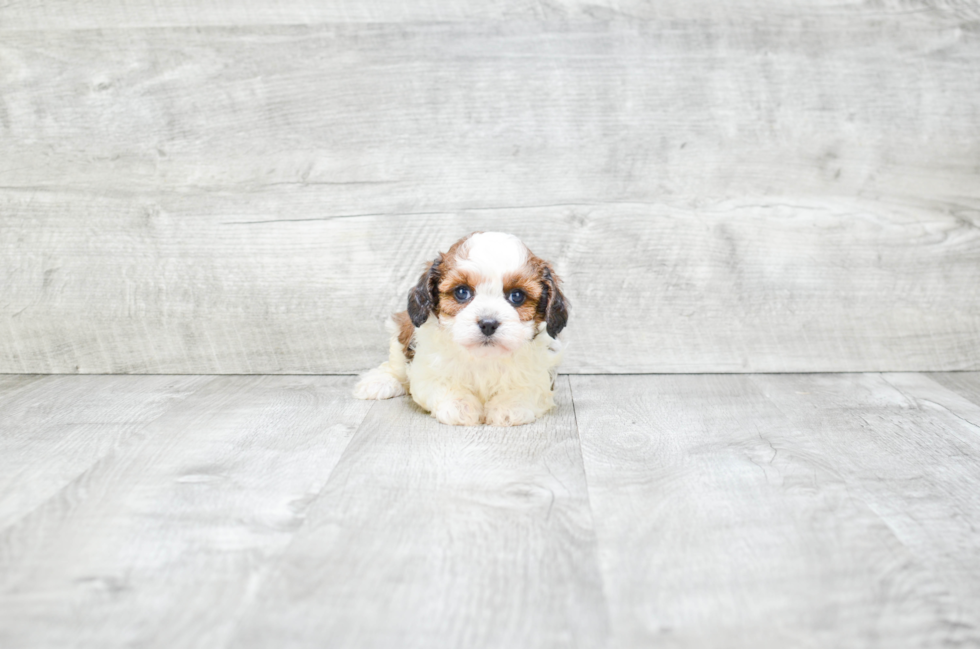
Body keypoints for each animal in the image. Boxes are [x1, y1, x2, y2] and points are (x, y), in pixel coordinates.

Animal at [352, 233, 568, 426]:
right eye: (462, 292)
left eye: (517, 296)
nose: (488, 323)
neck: (483, 358)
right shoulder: (427, 368)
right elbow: (442, 384)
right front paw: (460, 405)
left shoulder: (539, 372)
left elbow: (526, 387)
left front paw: (509, 406)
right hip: (401, 331)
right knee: (395, 365)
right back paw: (380, 382)